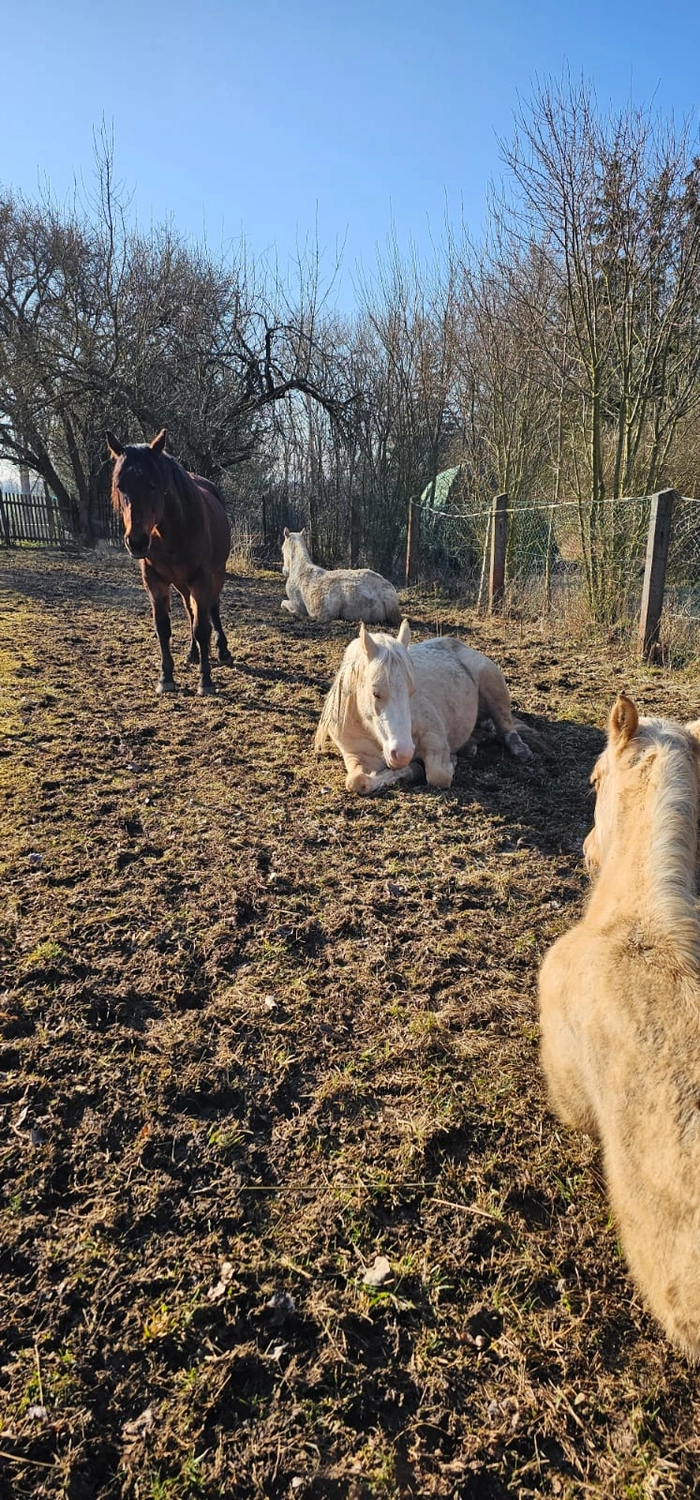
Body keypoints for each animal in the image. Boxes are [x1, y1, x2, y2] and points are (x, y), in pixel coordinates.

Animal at [107, 429, 233, 696]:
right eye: (120, 485)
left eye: (153, 485)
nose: (137, 542)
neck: (173, 532)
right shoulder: (155, 581)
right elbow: (163, 628)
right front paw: (165, 678)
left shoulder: (202, 579)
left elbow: (202, 628)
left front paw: (206, 682)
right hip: (182, 584)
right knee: (190, 611)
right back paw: (192, 654)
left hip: (215, 575)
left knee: (212, 609)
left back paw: (223, 652)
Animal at [314, 620, 532, 794]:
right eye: (375, 693)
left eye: (412, 691)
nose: (402, 754)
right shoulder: (355, 755)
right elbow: (357, 781)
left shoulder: (434, 739)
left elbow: (438, 776)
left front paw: (426, 767)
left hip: (493, 685)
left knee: (506, 730)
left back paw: (521, 750)